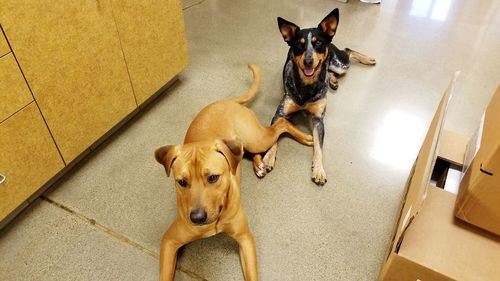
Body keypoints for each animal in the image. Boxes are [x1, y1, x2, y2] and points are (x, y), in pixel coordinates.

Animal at [154, 64, 310, 280]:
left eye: (213, 178)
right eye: (181, 182)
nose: (197, 218)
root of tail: (227, 101)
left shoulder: (245, 238)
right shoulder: (169, 241)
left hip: (256, 137)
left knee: (281, 124)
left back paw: (306, 137)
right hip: (246, 143)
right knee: (250, 151)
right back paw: (259, 164)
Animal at [260, 8, 374, 184]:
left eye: (318, 43)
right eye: (299, 45)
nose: (308, 61)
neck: (307, 85)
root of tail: (331, 41)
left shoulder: (318, 120)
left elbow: (319, 148)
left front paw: (319, 170)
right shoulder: (280, 113)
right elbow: (275, 132)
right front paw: (268, 158)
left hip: (339, 64)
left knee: (347, 52)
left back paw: (367, 59)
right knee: (336, 64)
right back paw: (333, 80)